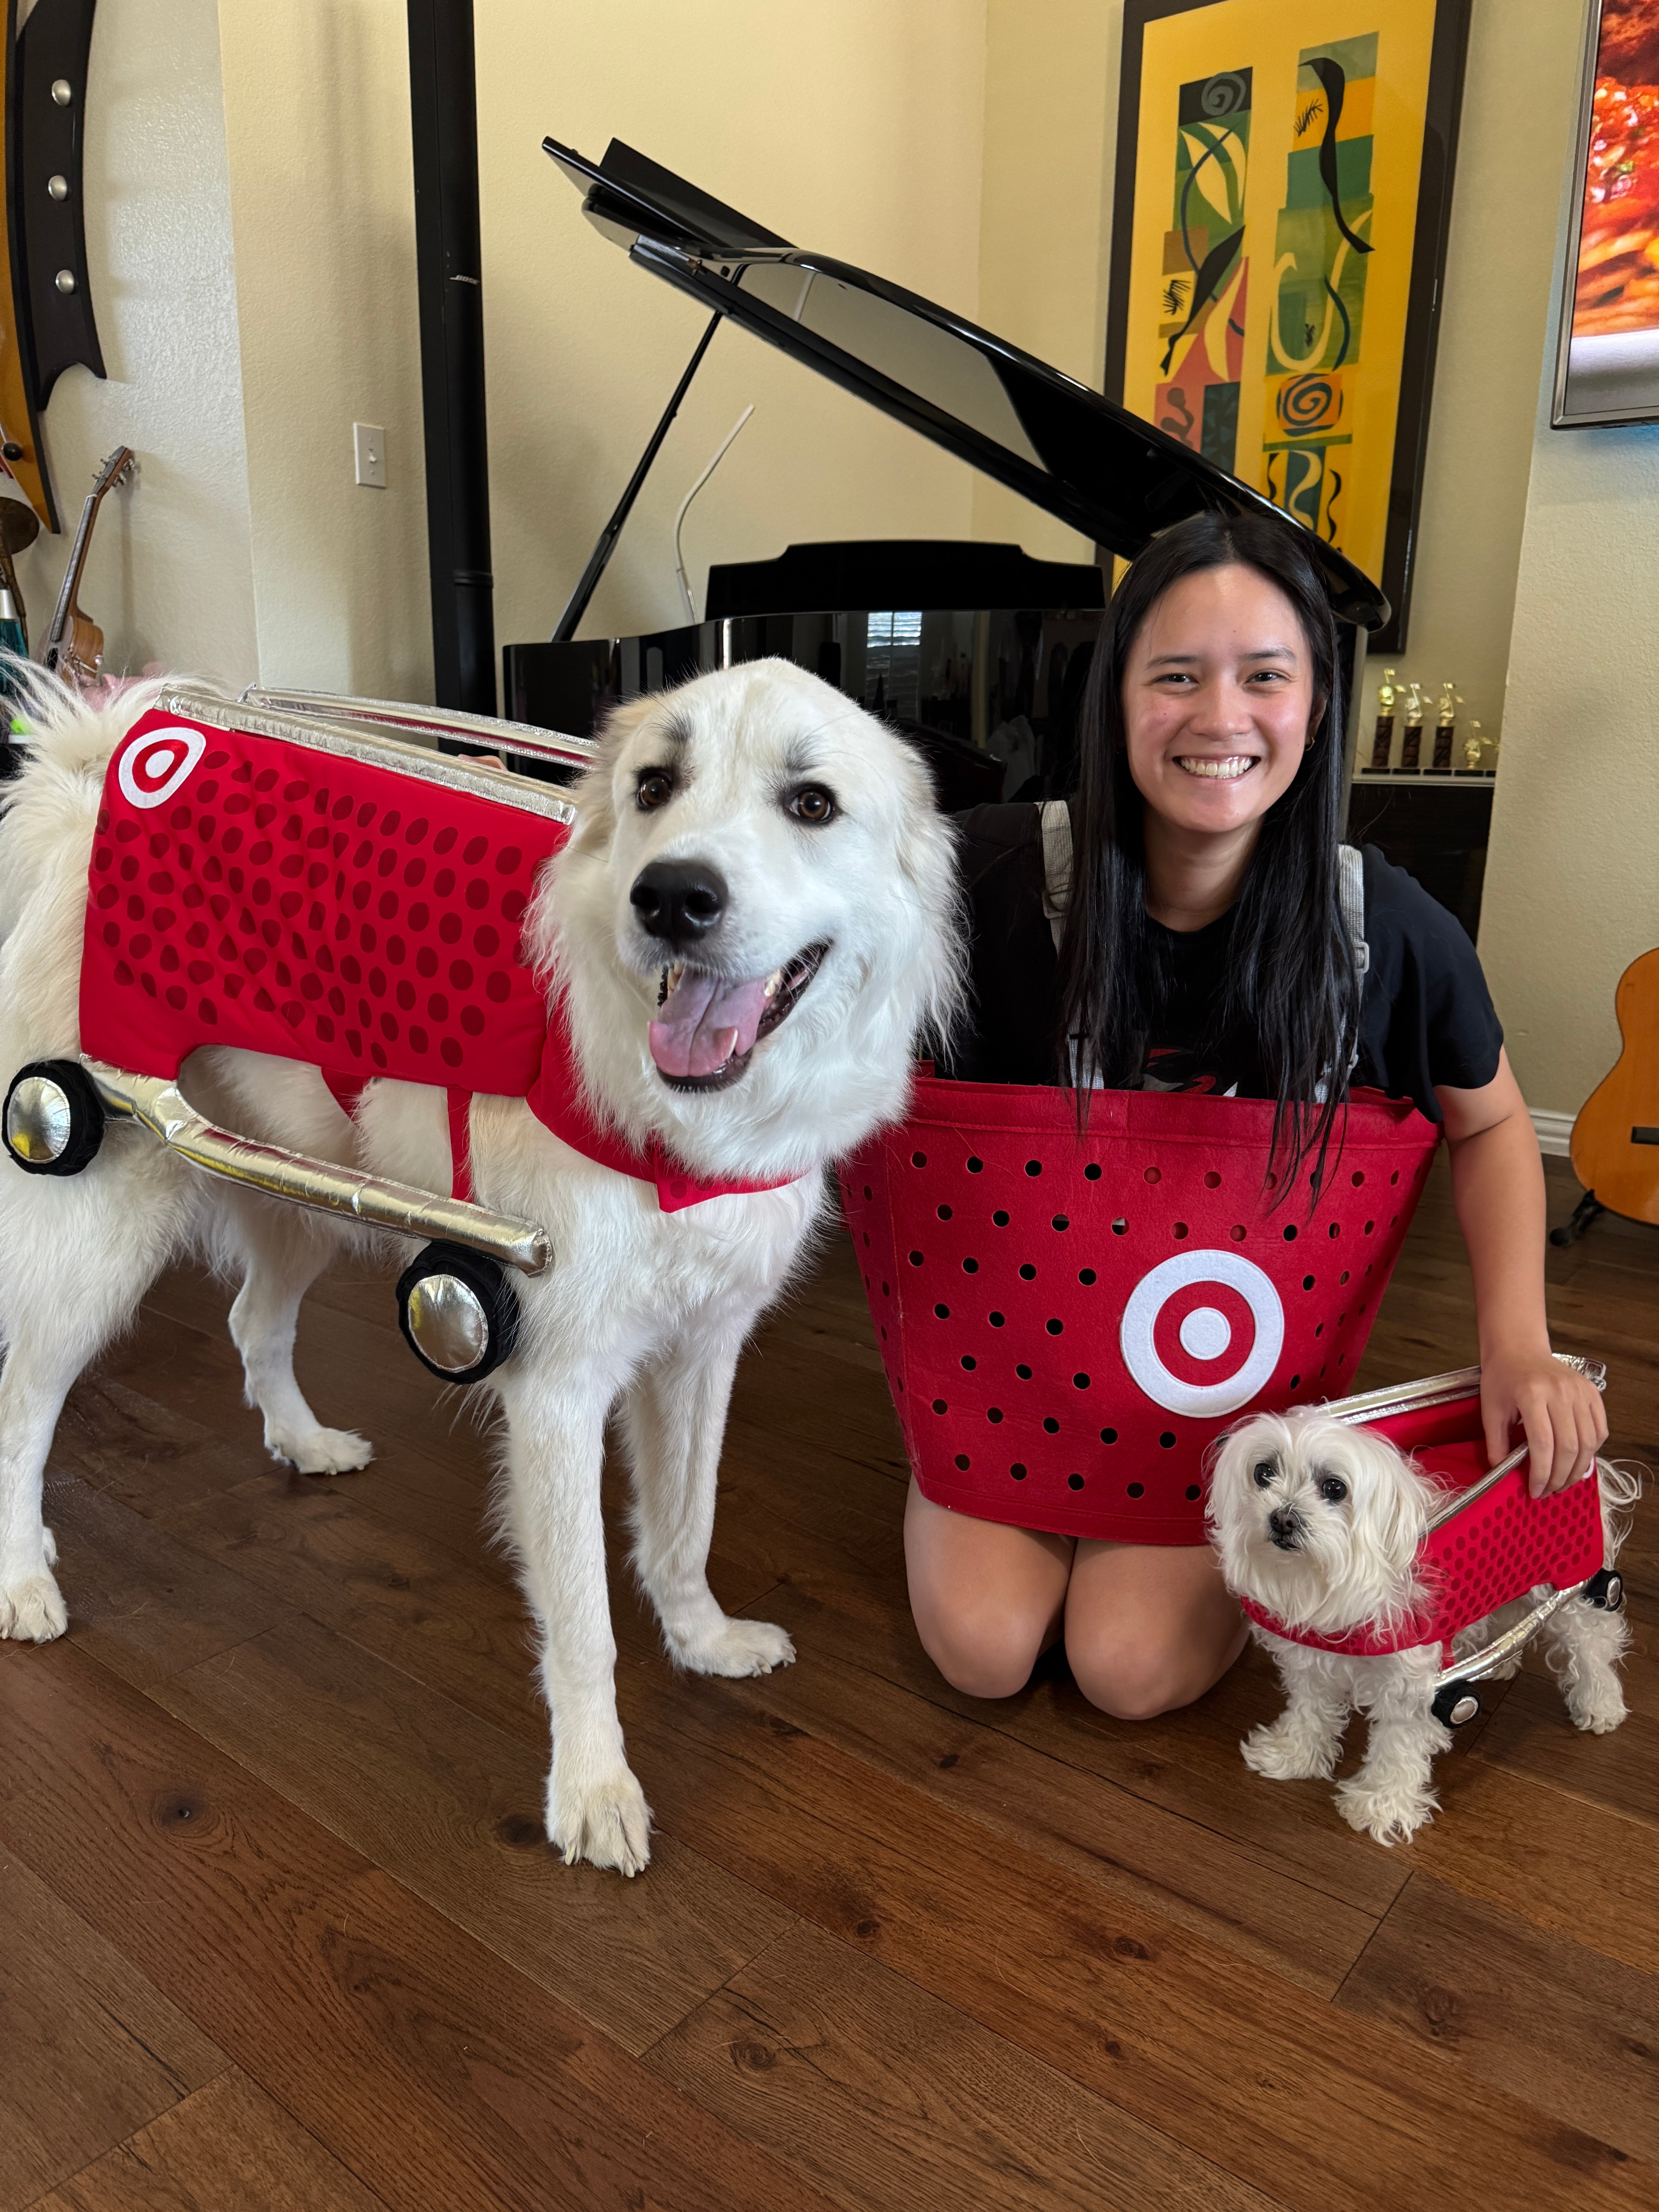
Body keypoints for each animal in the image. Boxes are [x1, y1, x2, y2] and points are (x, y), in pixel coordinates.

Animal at [0, 654, 960, 1867]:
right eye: (653, 788)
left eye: (812, 804)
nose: (671, 899)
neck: (672, 1121)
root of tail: (98, 773)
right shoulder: (556, 1391)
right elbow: (585, 1625)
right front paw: (592, 1790)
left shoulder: (700, 1355)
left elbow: (683, 1529)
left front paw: (701, 1641)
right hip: (99, 1222)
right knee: (22, 1409)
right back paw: (21, 1575)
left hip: (302, 1193)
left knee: (251, 1325)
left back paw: (303, 1444)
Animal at [1212, 1415, 1637, 1849]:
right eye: (1264, 1472)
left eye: (1334, 1488)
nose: (1283, 1518)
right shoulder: (1312, 1662)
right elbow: (1310, 1710)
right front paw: (1293, 1754)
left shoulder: (1412, 1685)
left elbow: (1397, 1746)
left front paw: (1380, 1806)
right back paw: (1497, 1660)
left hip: (1569, 1577)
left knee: (1592, 1640)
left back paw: (1600, 1702)